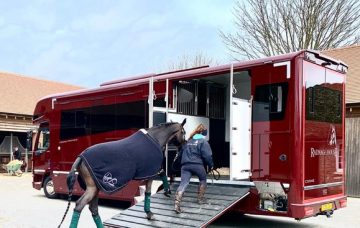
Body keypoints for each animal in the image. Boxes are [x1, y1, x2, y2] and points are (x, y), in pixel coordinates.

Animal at [57, 119, 186, 228]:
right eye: (183, 132)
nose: (183, 145)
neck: (155, 138)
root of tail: (81, 157)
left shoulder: (151, 171)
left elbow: (162, 174)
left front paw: (167, 191)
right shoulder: (150, 172)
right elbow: (149, 191)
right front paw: (150, 212)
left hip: (96, 188)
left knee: (93, 209)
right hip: (93, 189)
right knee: (79, 206)